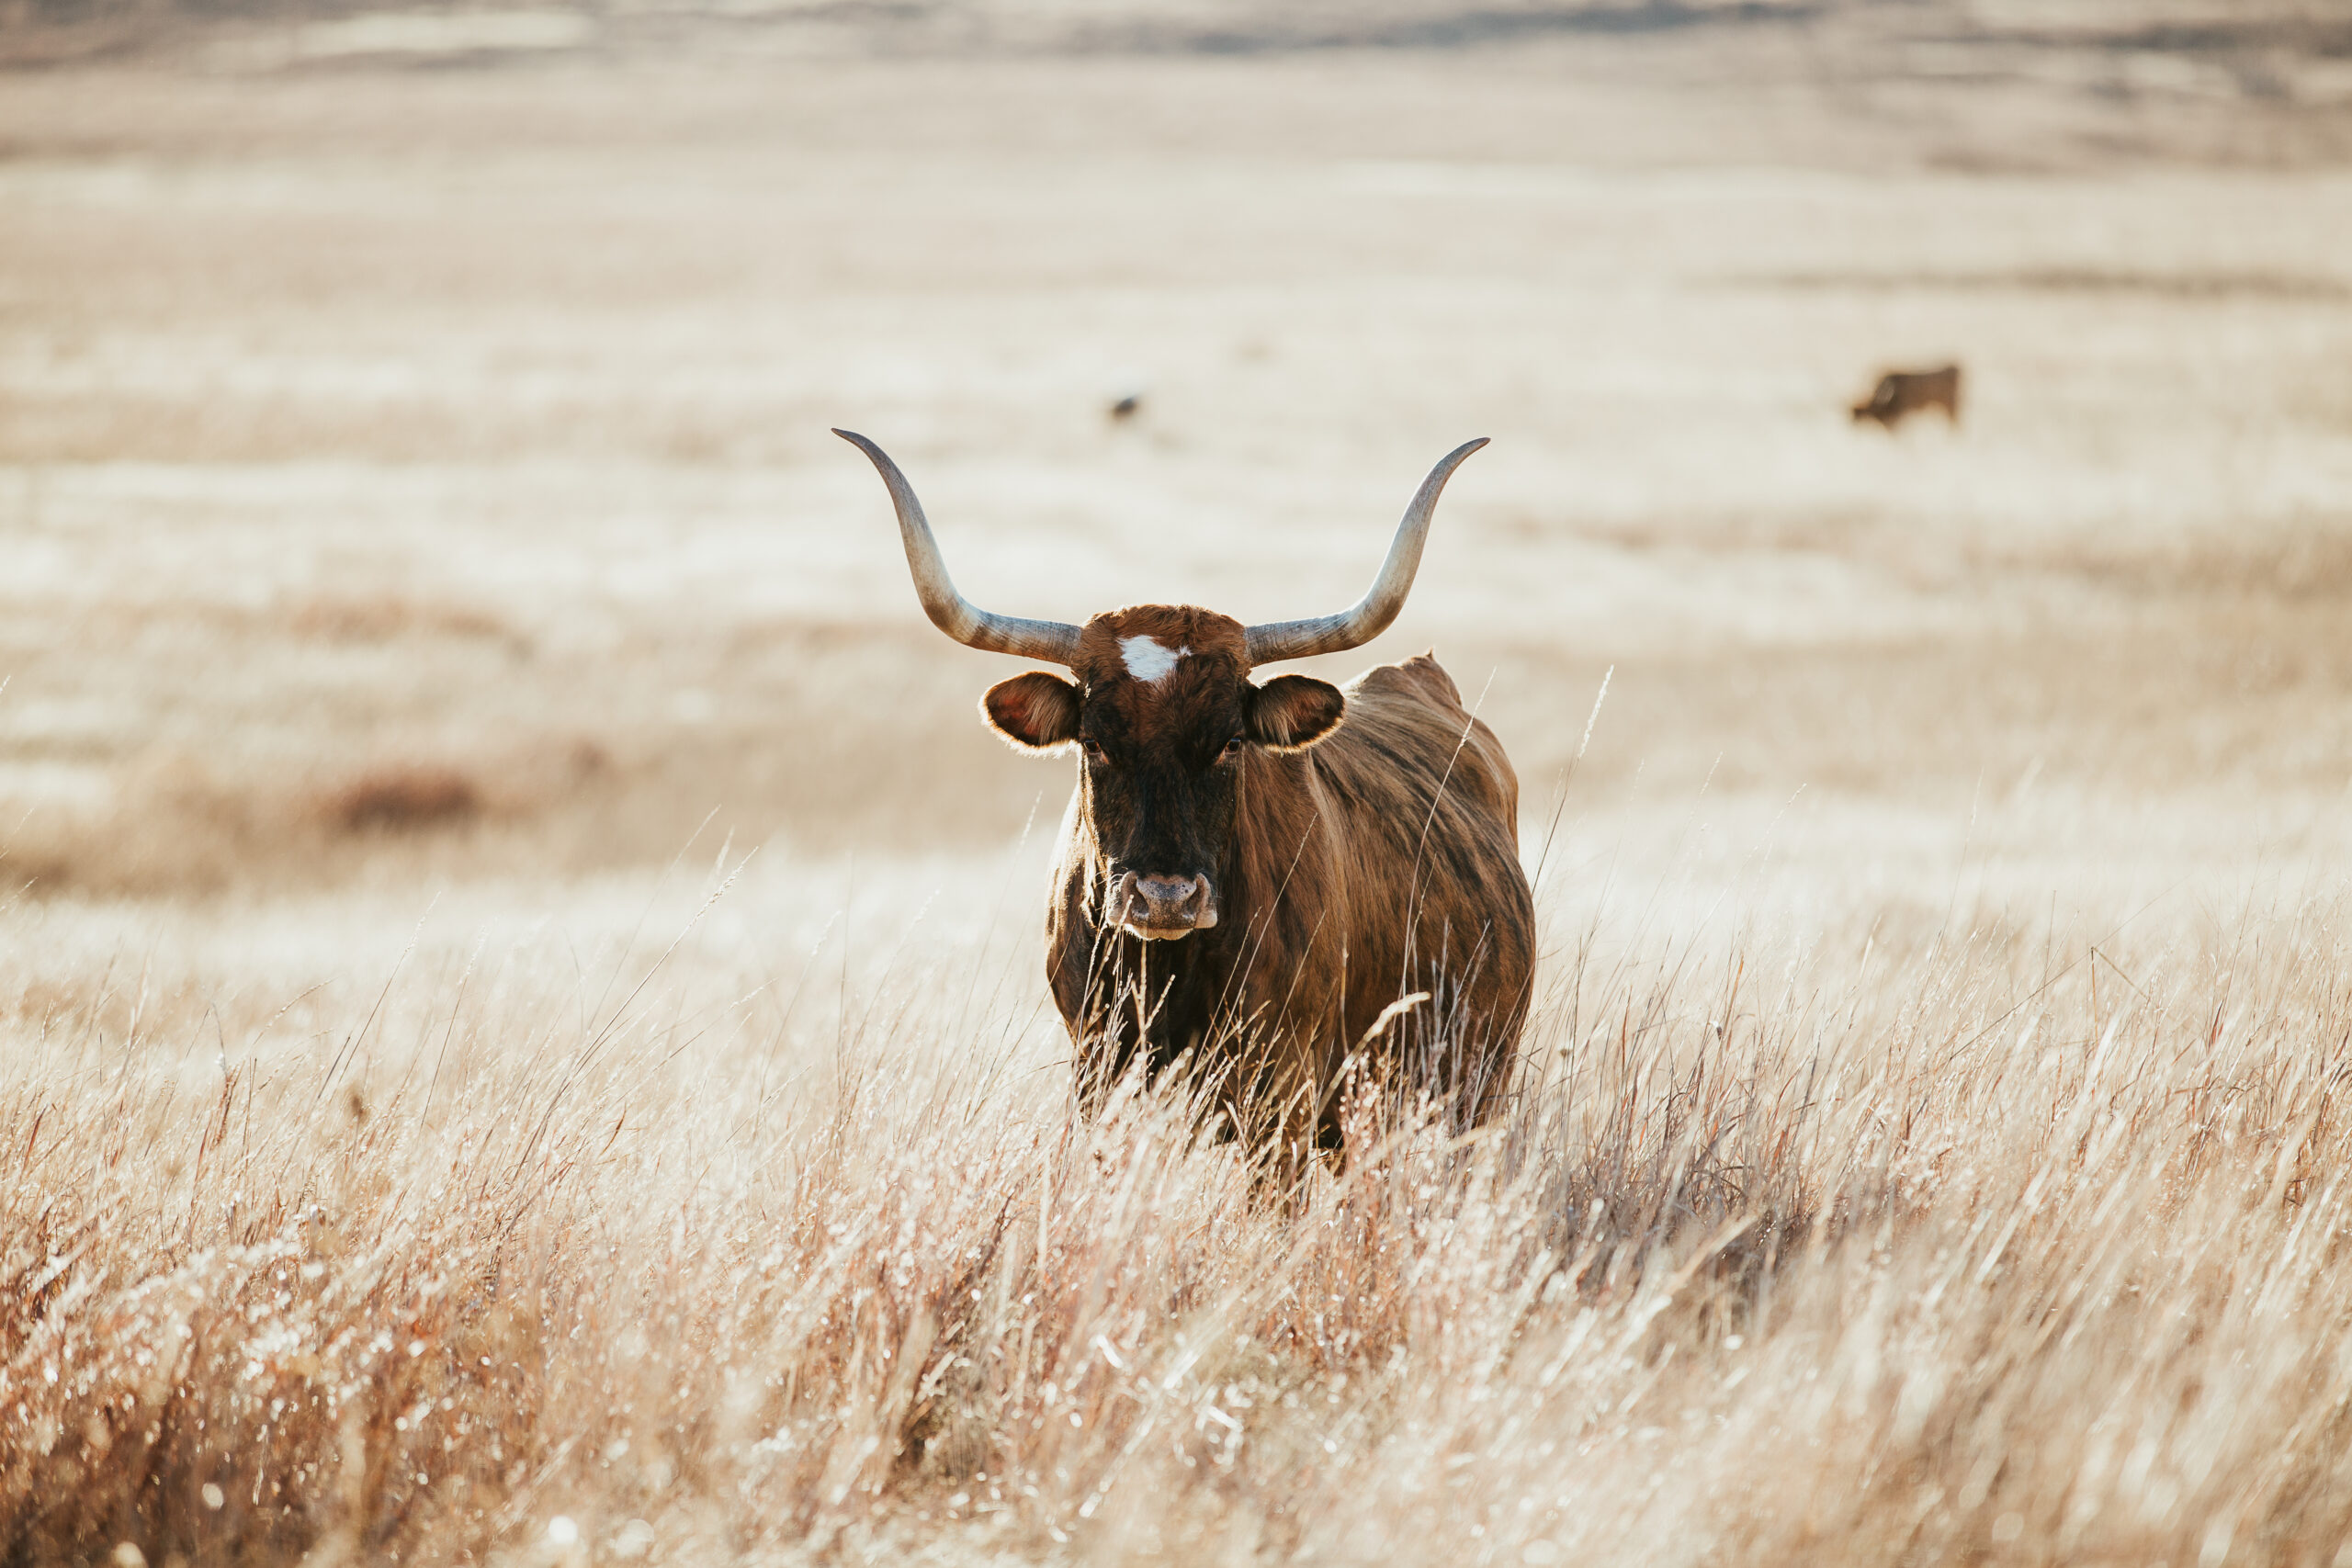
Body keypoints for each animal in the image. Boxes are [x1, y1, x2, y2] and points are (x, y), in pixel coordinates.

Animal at [838, 429, 1535, 1165]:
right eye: (1094, 741)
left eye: (1231, 741)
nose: (1165, 898)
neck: (1167, 968)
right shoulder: (1099, 1076)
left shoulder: (1282, 1095)